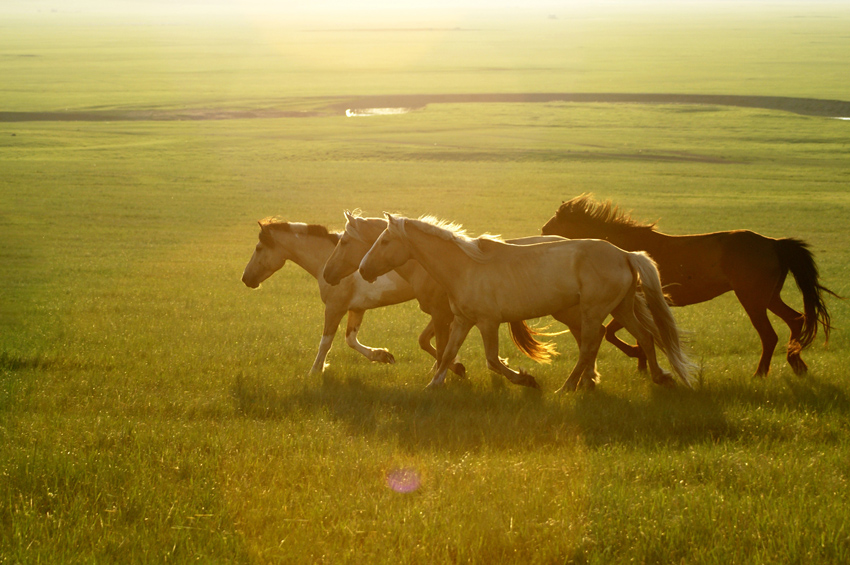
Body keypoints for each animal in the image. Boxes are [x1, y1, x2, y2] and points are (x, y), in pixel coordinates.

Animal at [240, 219, 422, 374]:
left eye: (259, 248)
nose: (245, 278)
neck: (329, 262)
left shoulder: (334, 308)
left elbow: (325, 343)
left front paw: (314, 371)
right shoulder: (357, 309)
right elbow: (350, 339)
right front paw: (382, 355)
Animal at [322, 210, 568, 378]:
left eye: (344, 241)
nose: (327, 273)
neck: (424, 265)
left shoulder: (442, 315)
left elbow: (437, 347)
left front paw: (454, 369)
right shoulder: (448, 316)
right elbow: (433, 344)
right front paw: (451, 369)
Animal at [354, 214, 692, 390]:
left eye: (385, 241)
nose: (364, 269)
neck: (465, 267)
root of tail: (624, 254)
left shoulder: (487, 322)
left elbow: (492, 360)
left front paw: (526, 379)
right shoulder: (462, 320)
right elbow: (447, 354)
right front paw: (433, 386)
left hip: (594, 311)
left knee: (589, 346)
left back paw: (568, 387)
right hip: (620, 307)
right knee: (644, 337)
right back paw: (660, 377)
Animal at [540, 193, 840, 374]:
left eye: (555, 221)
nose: (542, 232)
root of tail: (773, 244)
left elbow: (616, 333)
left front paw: (639, 358)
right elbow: (625, 333)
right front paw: (642, 363)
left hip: (752, 299)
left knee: (769, 335)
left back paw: (761, 374)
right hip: (769, 297)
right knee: (796, 319)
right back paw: (797, 363)